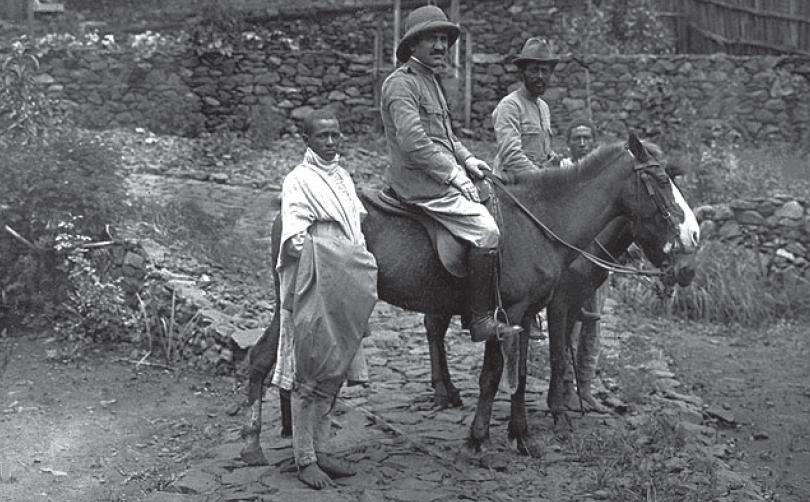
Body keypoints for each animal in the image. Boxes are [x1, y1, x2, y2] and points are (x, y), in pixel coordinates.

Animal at [238, 134, 696, 462]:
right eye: (659, 181)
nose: (692, 242)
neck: (539, 222)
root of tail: (291, 213)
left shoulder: (526, 316)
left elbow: (519, 376)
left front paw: (522, 437)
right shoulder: (505, 314)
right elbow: (494, 376)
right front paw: (479, 439)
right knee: (261, 360)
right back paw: (255, 444)